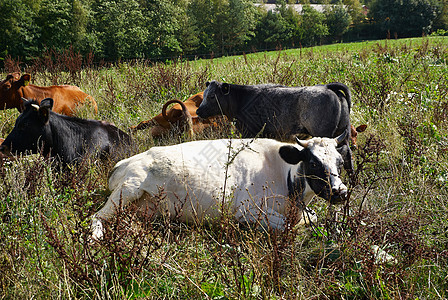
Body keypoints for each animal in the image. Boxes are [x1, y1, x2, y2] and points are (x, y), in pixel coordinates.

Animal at [92, 131, 350, 239]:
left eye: (340, 162)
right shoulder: (246, 209)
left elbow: (311, 217)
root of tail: (125, 161)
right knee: (96, 216)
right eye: (313, 163)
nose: (340, 192)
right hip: (128, 189)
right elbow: (287, 226)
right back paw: (95, 237)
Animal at [196, 81, 354, 172]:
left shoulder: (248, 132)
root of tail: (327, 87)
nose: (198, 111)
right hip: (342, 134)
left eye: (211, 96)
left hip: (324, 134)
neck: (241, 100)